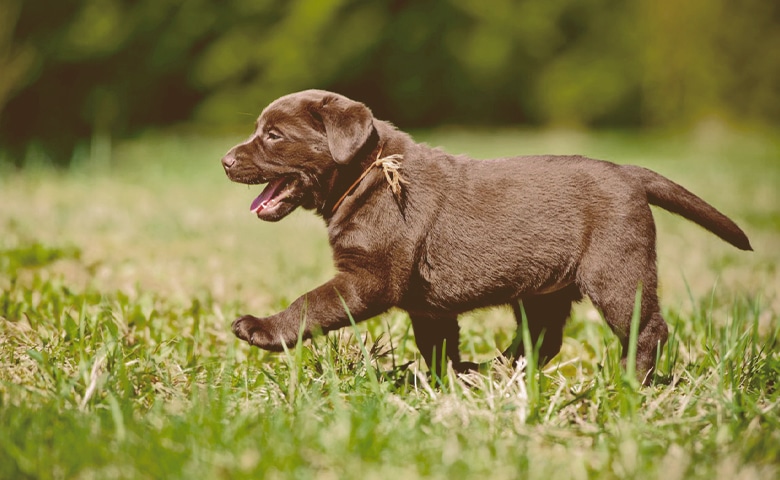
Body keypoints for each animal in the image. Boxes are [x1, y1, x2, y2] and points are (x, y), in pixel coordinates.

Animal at [218, 89, 748, 382]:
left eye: (273, 136)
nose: (224, 161)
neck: (371, 172)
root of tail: (629, 172)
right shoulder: (427, 307)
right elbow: (436, 346)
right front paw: (449, 380)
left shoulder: (368, 279)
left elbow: (311, 303)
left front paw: (262, 328)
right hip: (545, 288)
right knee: (542, 339)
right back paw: (494, 371)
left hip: (617, 271)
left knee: (647, 327)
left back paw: (629, 385)